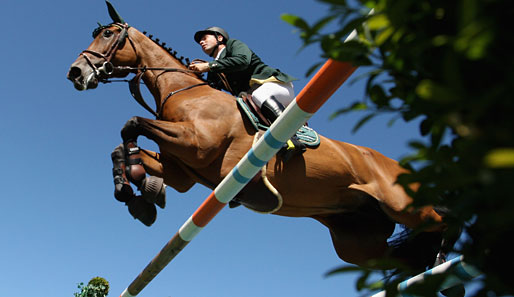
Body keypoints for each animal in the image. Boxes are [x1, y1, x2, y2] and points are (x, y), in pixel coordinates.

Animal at [67, 1, 444, 272]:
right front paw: (136, 190)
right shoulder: (182, 170)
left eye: (108, 34)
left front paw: (137, 185)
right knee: (404, 258)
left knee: (439, 222)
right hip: (358, 241)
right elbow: (123, 147)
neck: (183, 90)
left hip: (405, 206)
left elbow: (131, 124)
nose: (76, 72)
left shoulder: (197, 144)